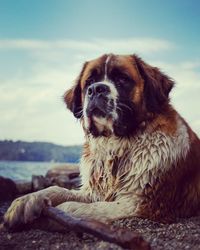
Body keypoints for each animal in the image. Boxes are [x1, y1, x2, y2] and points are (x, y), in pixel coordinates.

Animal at [2, 54, 200, 229]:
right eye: (89, 82)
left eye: (122, 79)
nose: (97, 88)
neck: (117, 143)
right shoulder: (93, 191)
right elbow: (57, 190)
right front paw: (25, 201)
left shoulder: (143, 203)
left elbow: (86, 208)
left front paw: (58, 215)